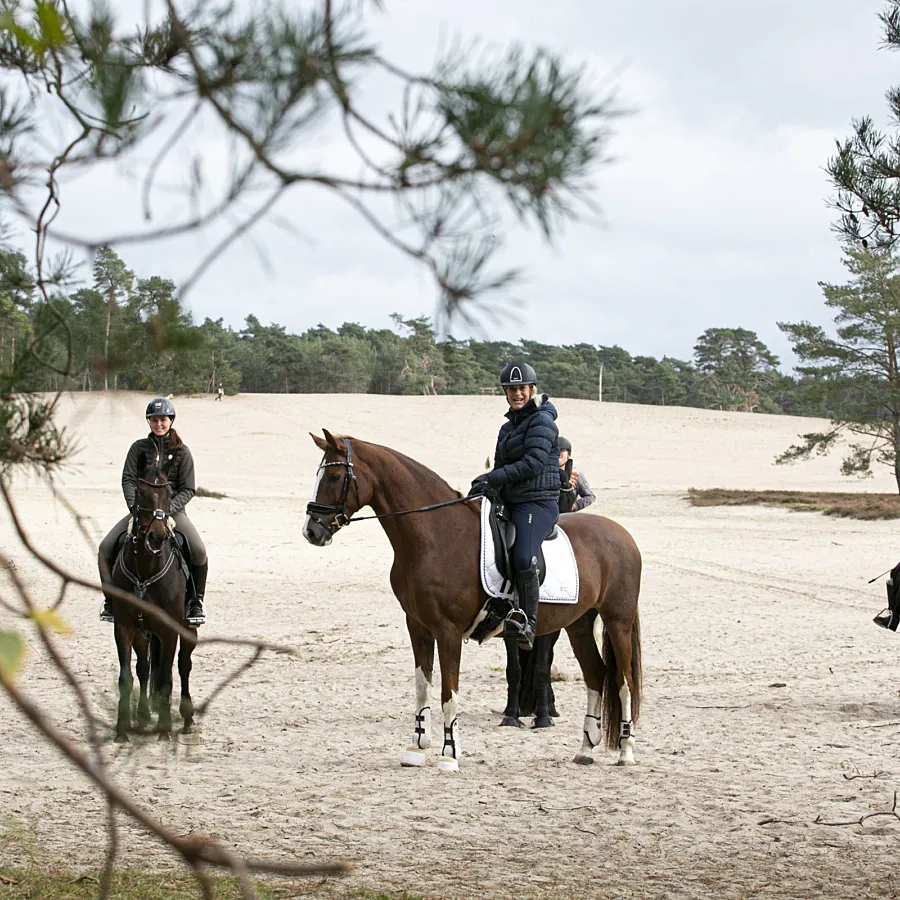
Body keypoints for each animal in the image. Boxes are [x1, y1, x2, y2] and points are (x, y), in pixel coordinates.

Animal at [103, 454, 199, 740]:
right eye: (142, 492)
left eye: (168, 493)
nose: (157, 536)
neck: (146, 569)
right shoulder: (124, 626)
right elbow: (128, 677)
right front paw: (123, 728)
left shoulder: (169, 631)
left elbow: (166, 678)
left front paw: (164, 729)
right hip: (142, 633)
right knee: (145, 669)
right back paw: (144, 715)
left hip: (188, 629)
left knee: (183, 665)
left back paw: (187, 718)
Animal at [306, 432, 644, 768]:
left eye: (335, 476)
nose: (311, 531)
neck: (436, 536)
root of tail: (623, 535)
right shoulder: (417, 626)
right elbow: (422, 687)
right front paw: (416, 748)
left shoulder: (448, 630)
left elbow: (449, 693)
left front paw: (449, 754)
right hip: (579, 625)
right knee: (596, 675)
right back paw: (585, 748)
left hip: (617, 621)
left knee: (624, 681)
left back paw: (626, 751)